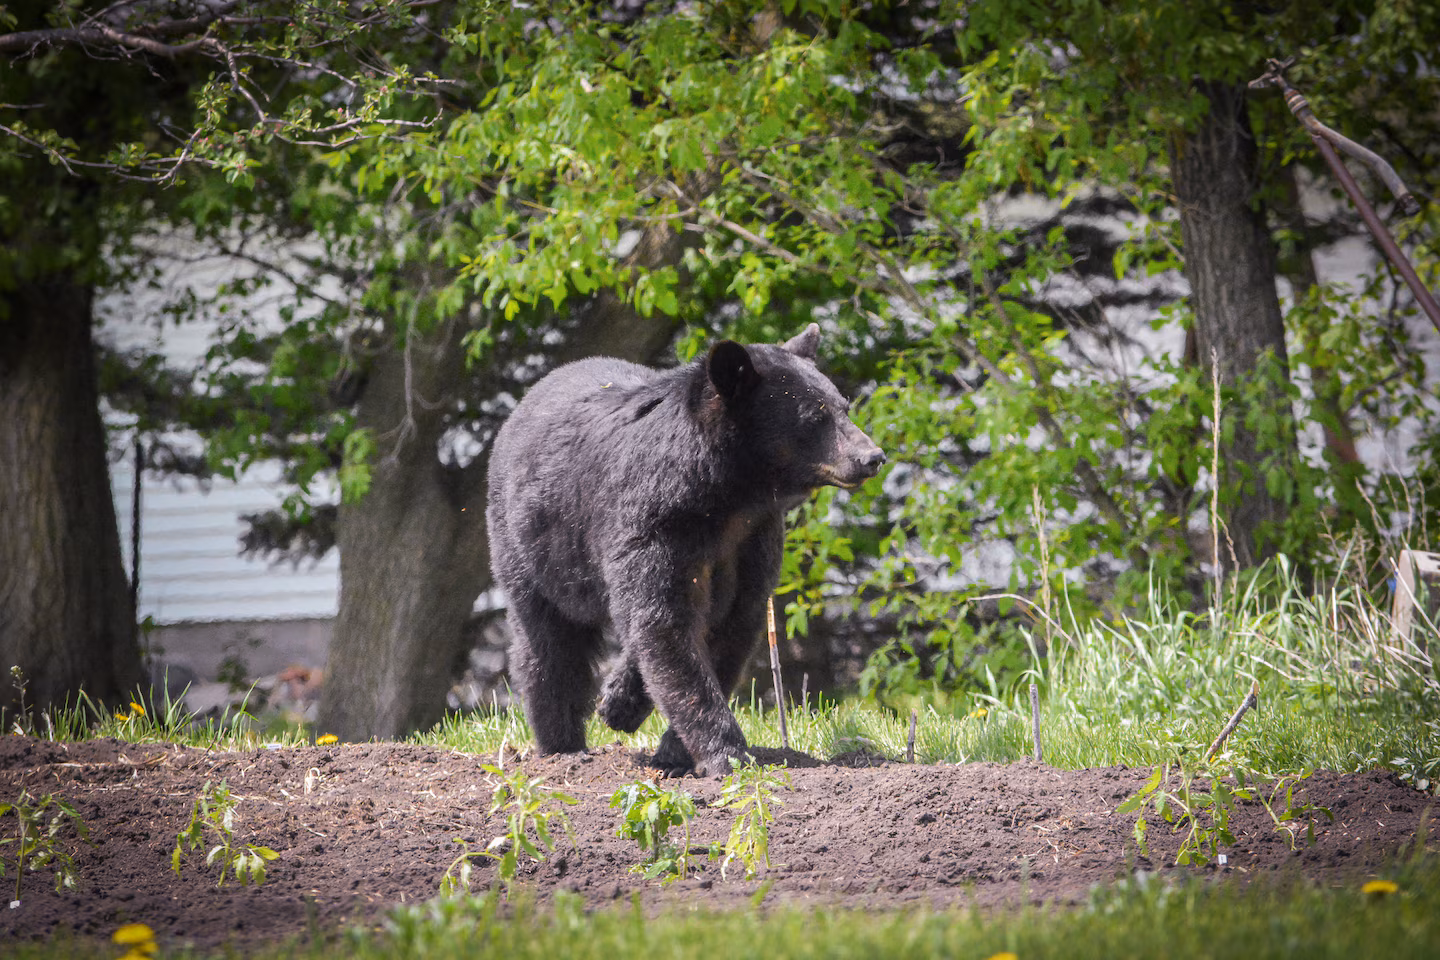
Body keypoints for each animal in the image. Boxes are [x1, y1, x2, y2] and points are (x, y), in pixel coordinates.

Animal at [486, 323, 885, 775]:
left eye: (843, 406)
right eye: (815, 417)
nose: (872, 456)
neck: (725, 496)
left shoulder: (750, 538)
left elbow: (729, 623)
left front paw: (672, 748)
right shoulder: (656, 525)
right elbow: (666, 623)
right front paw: (726, 753)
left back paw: (618, 702)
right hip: (532, 547)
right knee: (548, 644)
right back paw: (562, 746)